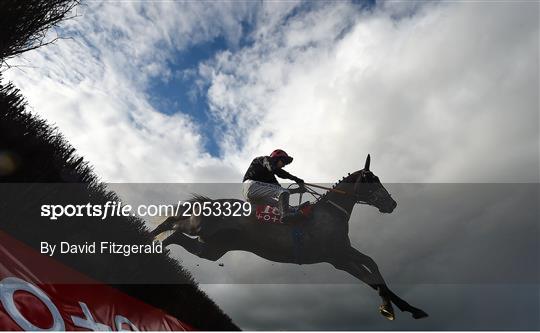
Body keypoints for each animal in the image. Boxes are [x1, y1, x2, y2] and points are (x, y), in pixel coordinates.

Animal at [152, 154, 430, 320]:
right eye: (373, 179)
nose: (392, 203)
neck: (330, 213)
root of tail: (212, 203)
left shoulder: (341, 256)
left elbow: (372, 273)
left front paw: (407, 308)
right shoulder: (338, 255)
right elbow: (372, 270)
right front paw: (390, 307)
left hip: (211, 249)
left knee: (176, 235)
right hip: (200, 228)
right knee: (173, 225)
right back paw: (149, 243)